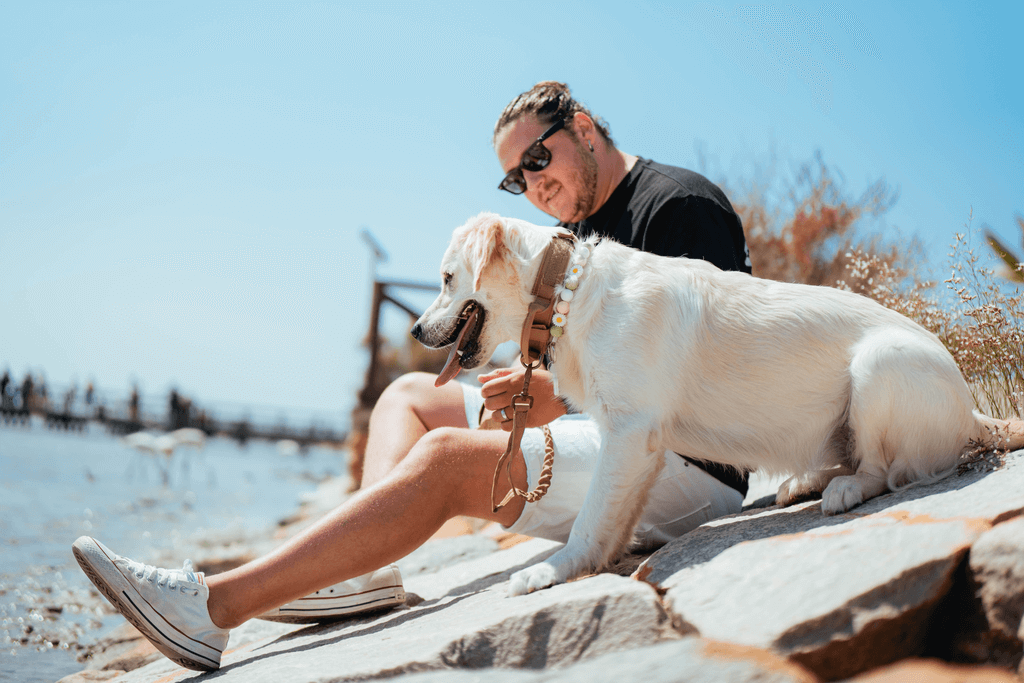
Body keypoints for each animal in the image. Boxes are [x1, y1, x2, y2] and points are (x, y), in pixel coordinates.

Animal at [411, 210, 1019, 593]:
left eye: (446, 278)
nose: (415, 330)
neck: (566, 291)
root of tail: (971, 408)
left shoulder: (630, 434)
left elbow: (588, 518)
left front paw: (554, 570)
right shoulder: (635, 446)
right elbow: (611, 520)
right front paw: (598, 561)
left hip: (878, 363)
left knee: (882, 471)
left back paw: (842, 490)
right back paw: (805, 481)